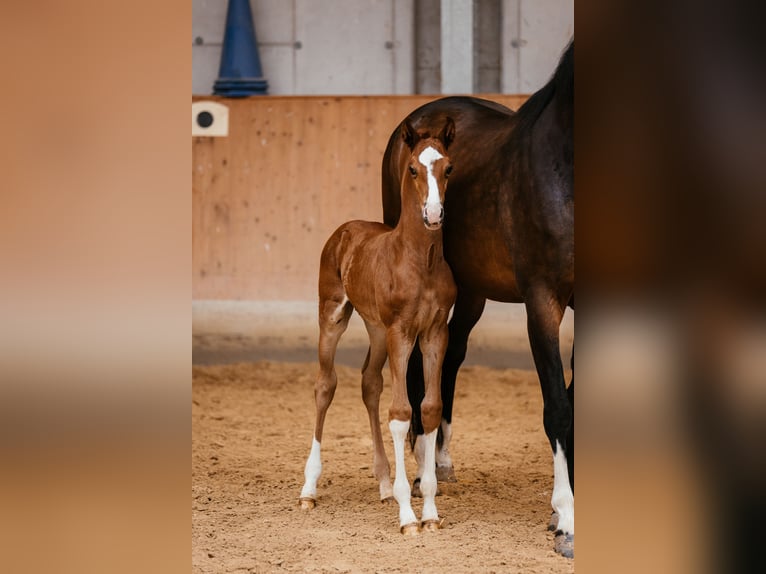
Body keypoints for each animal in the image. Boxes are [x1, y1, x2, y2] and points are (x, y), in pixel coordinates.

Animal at [298, 117, 456, 536]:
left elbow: (429, 409)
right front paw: (407, 517)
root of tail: (345, 229)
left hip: (376, 329)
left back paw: (384, 483)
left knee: (370, 382)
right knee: (325, 385)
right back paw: (308, 489)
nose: (433, 214)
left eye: (448, 168)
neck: (420, 260)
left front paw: (429, 512)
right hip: (333, 316)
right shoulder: (401, 331)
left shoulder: (434, 333)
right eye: (413, 169)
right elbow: (400, 413)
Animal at [380, 41, 572, 560]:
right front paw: (566, 518)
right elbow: (557, 405)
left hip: (471, 292)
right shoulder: (543, 301)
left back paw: (440, 461)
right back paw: (423, 466)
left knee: (450, 359)